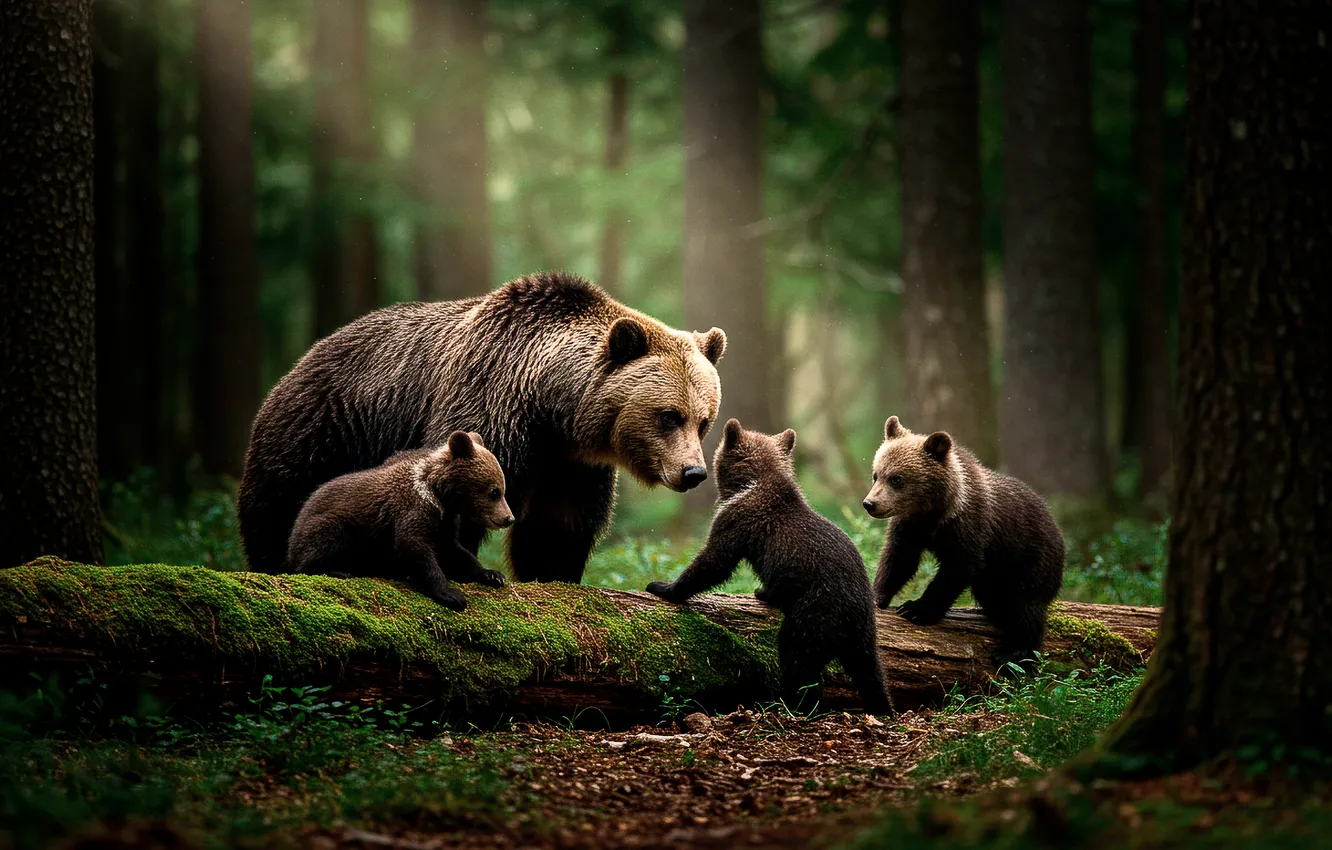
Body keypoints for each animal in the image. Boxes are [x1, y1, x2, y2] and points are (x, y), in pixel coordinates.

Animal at [239, 271, 727, 582]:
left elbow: (558, 528)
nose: (693, 472)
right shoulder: (490, 409)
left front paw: (551, 573)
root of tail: (299, 362)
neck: (551, 407)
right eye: (669, 415)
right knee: (276, 512)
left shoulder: (572, 466)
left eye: (704, 421)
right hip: (321, 432)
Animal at [286, 430, 514, 611]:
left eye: (502, 489)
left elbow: (456, 550)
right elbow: (414, 546)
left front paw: (492, 574)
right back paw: (338, 570)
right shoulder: (412, 509)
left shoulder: (445, 521)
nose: (508, 518)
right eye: (494, 491)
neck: (438, 494)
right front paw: (451, 594)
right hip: (333, 524)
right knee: (322, 543)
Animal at [646, 419, 894, 716]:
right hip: (864, 635)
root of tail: (857, 609)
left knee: (797, 656)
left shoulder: (737, 521)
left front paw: (663, 586)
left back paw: (789, 703)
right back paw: (883, 706)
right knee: (870, 671)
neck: (754, 482)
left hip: (815, 611)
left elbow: (715, 560)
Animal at [861, 416, 1065, 669]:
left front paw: (916, 608)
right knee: (994, 596)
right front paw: (877, 595)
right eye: (876, 474)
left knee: (1026, 605)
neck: (933, 512)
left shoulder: (968, 528)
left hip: (1031, 559)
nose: (870, 503)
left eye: (897, 479)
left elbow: (957, 569)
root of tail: (1056, 525)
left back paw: (1012, 651)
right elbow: (899, 560)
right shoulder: (909, 527)